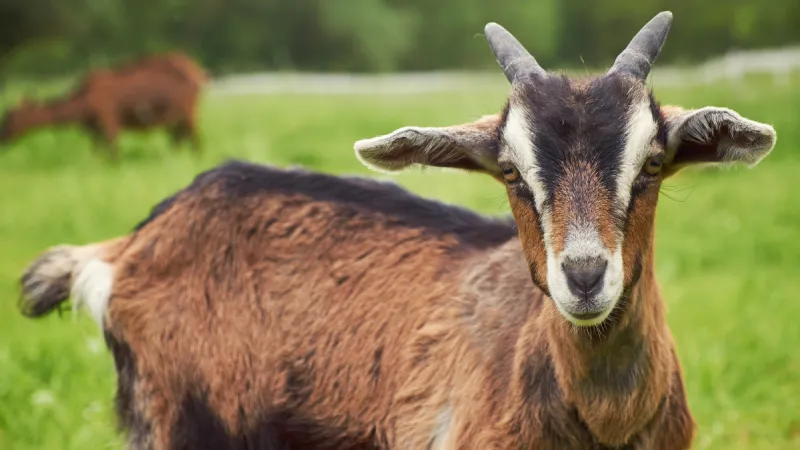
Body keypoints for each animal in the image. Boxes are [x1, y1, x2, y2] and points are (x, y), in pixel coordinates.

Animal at [0, 52, 207, 159]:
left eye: (10, 117)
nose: (2, 137)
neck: (81, 105)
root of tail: (197, 71)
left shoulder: (109, 121)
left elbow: (113, 152)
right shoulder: (95, 130)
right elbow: (97, 153)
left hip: (189, 112)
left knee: (195, 140)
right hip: (175, 117)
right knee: (179, 139)